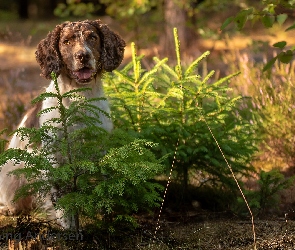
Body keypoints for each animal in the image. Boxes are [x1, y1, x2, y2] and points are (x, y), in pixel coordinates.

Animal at [0, 19, 126, 227]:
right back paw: (10, 209)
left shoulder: (99, 145)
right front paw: (69, 225)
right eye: (66, 41)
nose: (83, 56)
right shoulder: (52, 155)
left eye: (93, 37)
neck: (80, 99)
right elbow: (59, 194)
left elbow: (103, 182)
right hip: (10, 167)